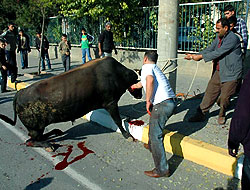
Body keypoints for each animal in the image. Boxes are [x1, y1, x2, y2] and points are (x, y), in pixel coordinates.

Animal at [0, 56, 142, 148]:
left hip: (37, 128)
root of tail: (20, 93)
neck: (117, 74)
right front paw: (127, 135)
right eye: (139, 87)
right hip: (36, 127)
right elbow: (118, 121)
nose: (140, 95)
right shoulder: (111, 103)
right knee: (32, 141)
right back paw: (49, 144)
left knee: (35, 138)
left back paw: (55, 132)